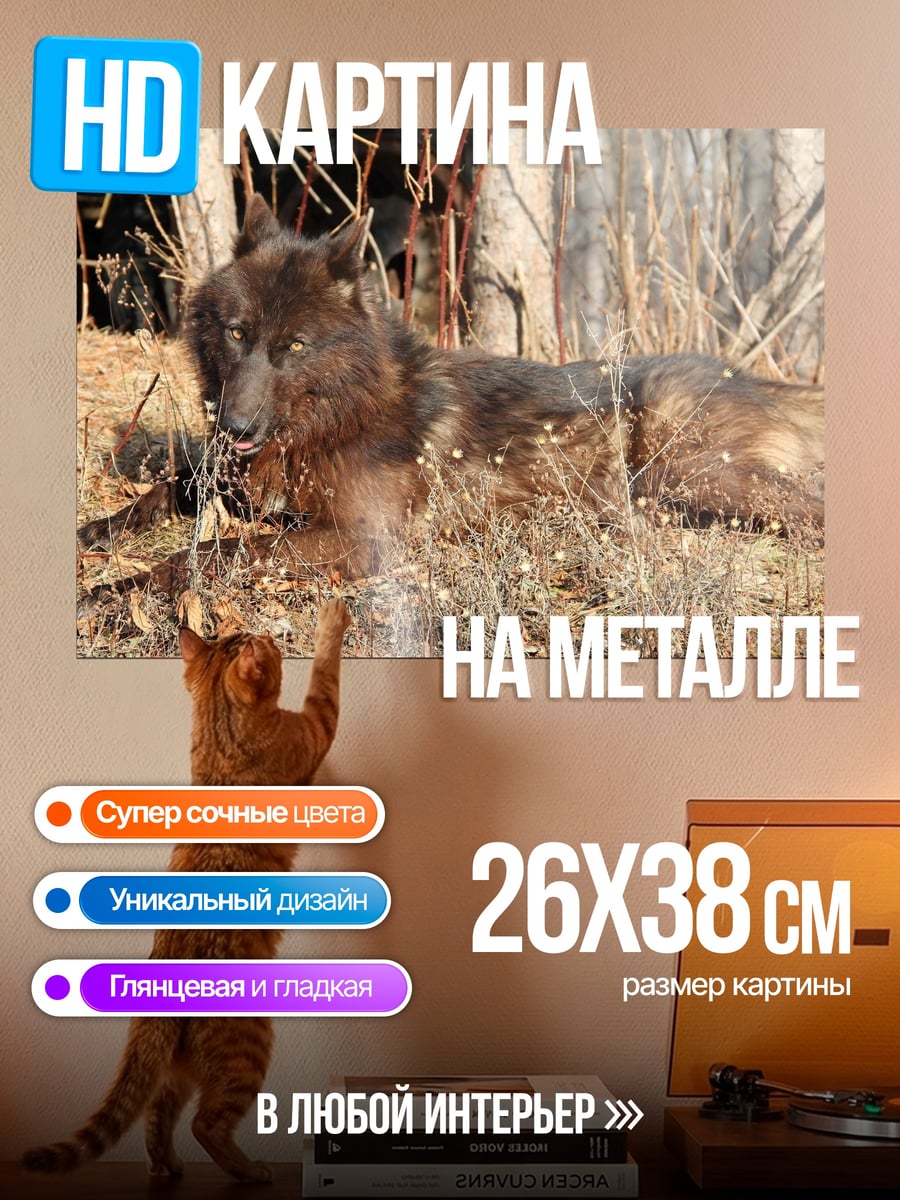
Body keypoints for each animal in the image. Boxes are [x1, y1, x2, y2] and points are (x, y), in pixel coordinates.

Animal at [78, 194, 824, 589]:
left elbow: (213, 552)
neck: (340, 415)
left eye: (293, 347)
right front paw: (96, 533)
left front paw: (117, 592)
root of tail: (745, 375)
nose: (233, 425)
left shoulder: (363, 540)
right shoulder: (229, 480)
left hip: (688, 471)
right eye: (237, 334)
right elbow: (165, 490)